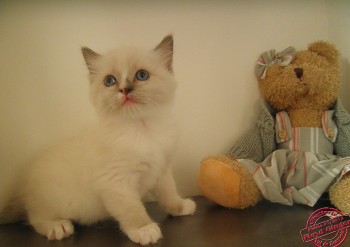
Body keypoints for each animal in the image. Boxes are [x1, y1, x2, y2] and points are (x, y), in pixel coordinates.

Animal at [0, 35, 196, 246]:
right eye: (110, 81)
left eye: (142, 75)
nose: (124, 89)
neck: (142, 129)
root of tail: (23, 184)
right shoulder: (116, 182)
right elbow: (132, 210)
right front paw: (144, 230)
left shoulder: (162, 170)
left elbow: (169, 194)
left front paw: (182, 207)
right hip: (53, 201)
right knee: (34, 217)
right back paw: (58, 227)